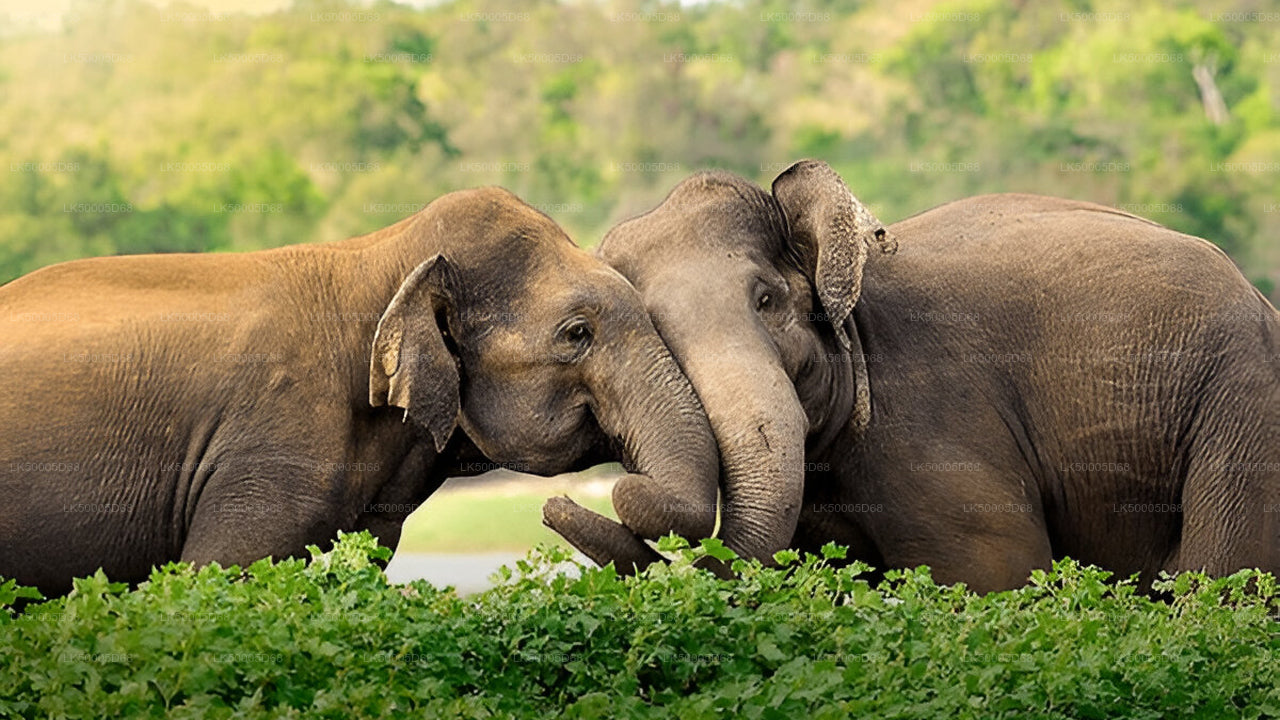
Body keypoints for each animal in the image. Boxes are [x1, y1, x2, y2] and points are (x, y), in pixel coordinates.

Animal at [544, 160, 1280, 594]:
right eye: (656, 332)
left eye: (767, 300)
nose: (558, 504)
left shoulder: (937, 432)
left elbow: (994, 577)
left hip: (1243, 404)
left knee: (1223, 579)